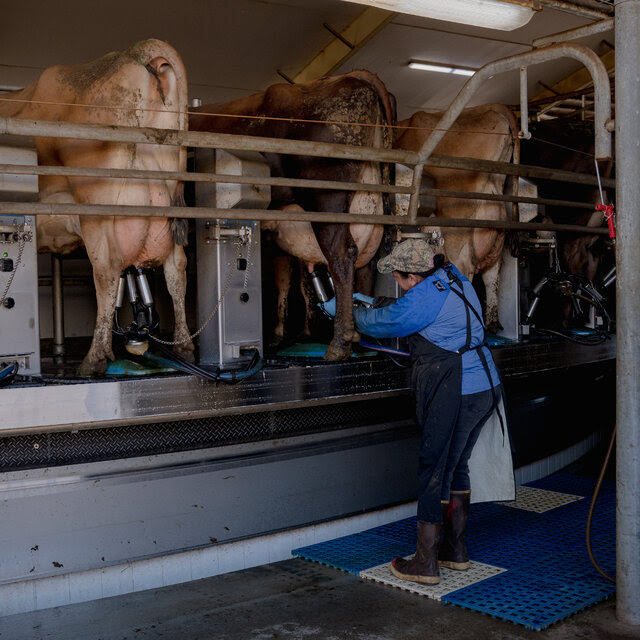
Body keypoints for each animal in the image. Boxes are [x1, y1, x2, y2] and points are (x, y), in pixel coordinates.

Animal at [0, 38, 195, 376]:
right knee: (176, 270)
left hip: (99, 211)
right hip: (165, 211)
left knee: (106, 270)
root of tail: (137, 51)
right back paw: (184, 348)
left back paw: (94, 358)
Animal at [189, 71, 396, 360]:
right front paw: (278, 335)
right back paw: (362, 337)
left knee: (343, 255)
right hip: (369, 203)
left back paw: (340, 343)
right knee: (367, 261)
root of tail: (354, 75)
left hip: (326, 198)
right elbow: (284, 277)